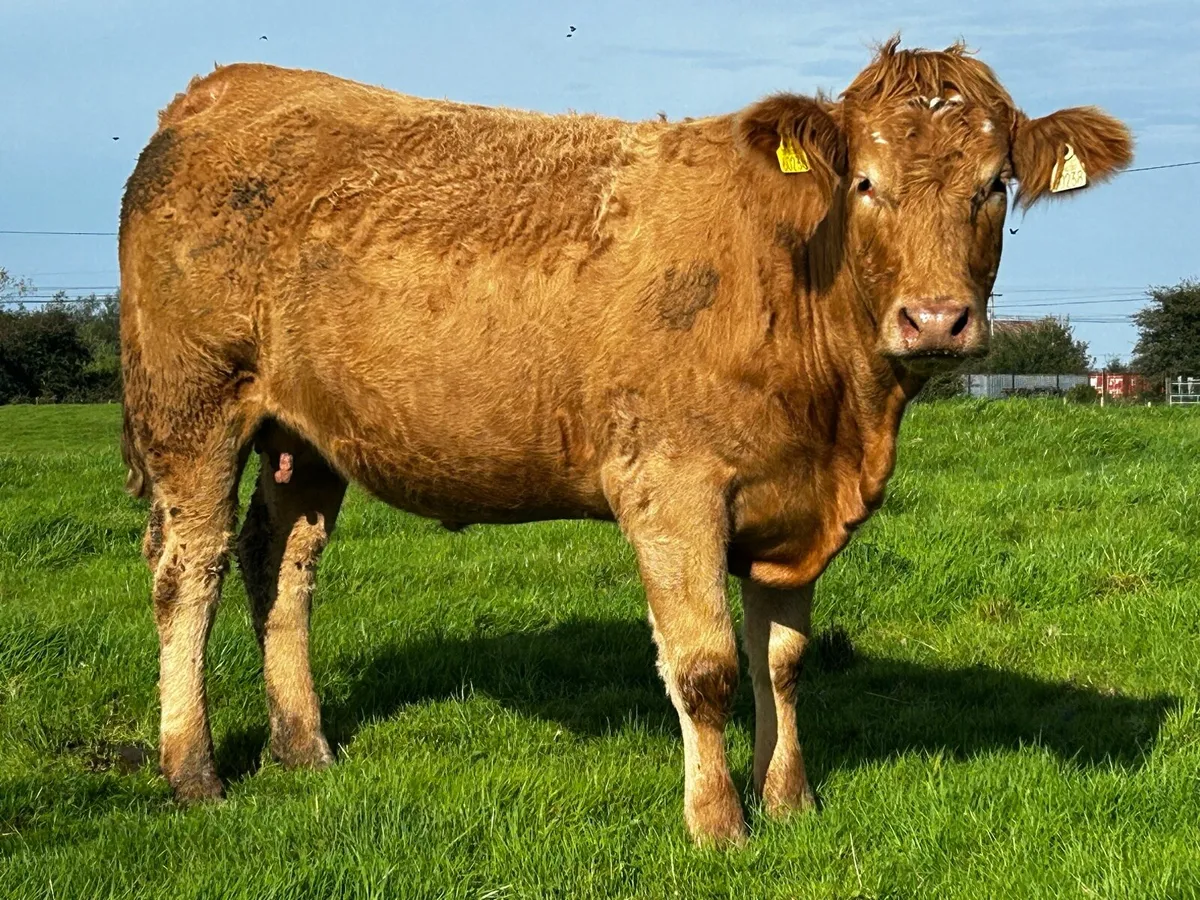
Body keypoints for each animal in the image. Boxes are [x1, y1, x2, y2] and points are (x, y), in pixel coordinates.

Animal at [119, 38, 1132, 845]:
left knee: (281, 563)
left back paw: (304, 749)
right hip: (191, 406)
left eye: (992, 187)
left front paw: (790, 800)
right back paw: (193, 771)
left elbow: (784, 661)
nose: (935, 320)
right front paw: (719, 824)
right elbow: (707, 667)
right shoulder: (671, 486)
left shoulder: (794, 505)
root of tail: (222, 88)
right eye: (864, 183)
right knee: (188, 568)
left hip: (305, 437)